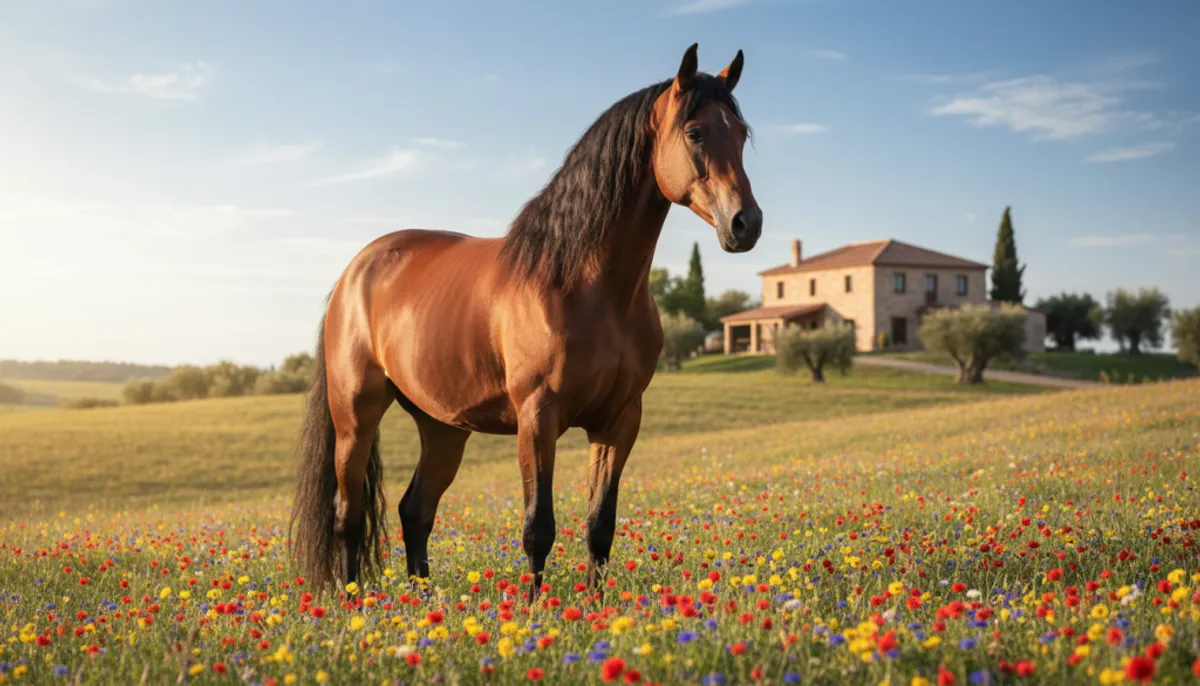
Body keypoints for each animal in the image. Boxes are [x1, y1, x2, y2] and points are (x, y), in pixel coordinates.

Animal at [289, 43, 762, 599]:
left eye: (741, 132)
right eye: (694, 132)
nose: (746, 224)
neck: (586, 282)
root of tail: (353, 273)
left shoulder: (620, 421)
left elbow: (599, 525)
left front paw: (595, 605)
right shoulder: (538, 417)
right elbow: (539, 526)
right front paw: (537, 609)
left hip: (443, 428)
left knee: (415, 510)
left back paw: (420, 598)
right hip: (354, 416)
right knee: (349, 516)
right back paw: (353, 600)